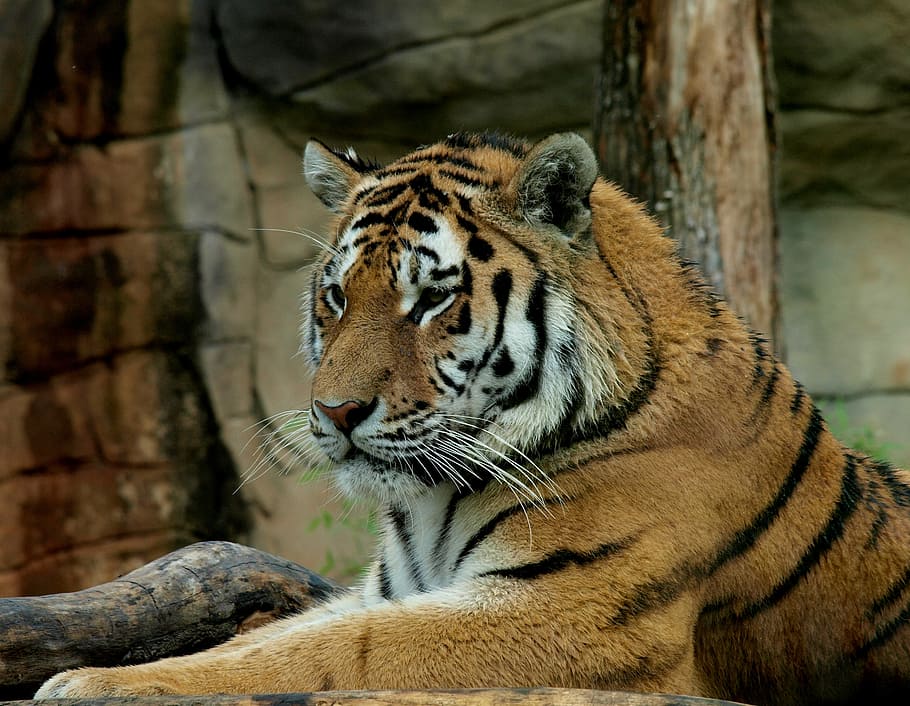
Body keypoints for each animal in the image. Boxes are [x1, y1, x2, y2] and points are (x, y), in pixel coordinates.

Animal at [37, 132, 910, 705]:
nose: (334, 411)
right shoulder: (390, 589)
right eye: (336, 296)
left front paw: (86, 683)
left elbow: (338, 651)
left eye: (430, 299)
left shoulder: (571, 612)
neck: (431, 498)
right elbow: (269, 633)